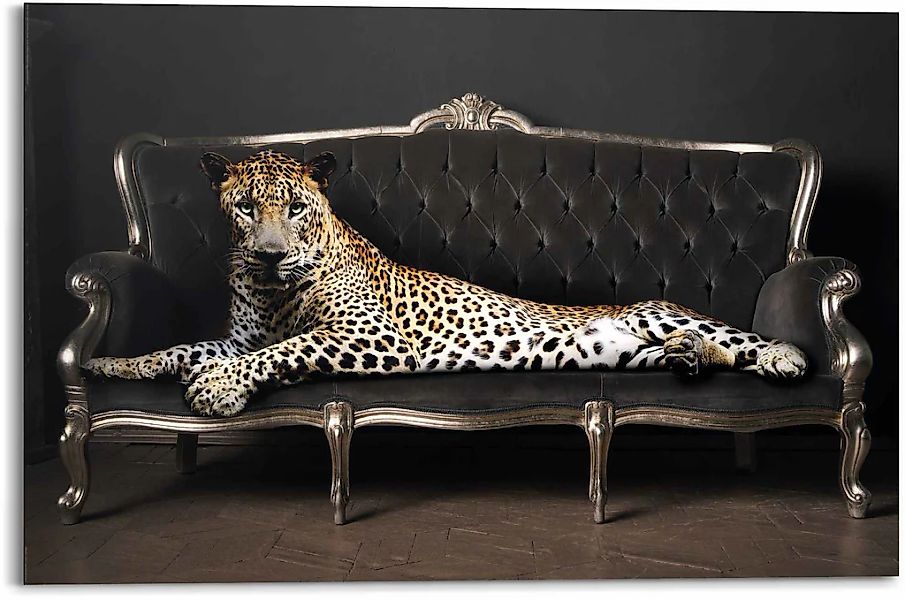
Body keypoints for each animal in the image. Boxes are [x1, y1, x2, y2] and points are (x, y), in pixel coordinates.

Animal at [85, 149, 808, 417]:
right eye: (244, 207)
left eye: (293, 208)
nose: (267, 255)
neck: (272, 290)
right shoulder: (238, 337)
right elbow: (180, 348)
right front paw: (112, 365)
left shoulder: (369, 335)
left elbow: (288, 349)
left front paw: (217, 389)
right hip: (626, 351)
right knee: (700, 353)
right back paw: (689, 360)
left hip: (658, 314)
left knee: (737, 340)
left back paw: (781, 356)